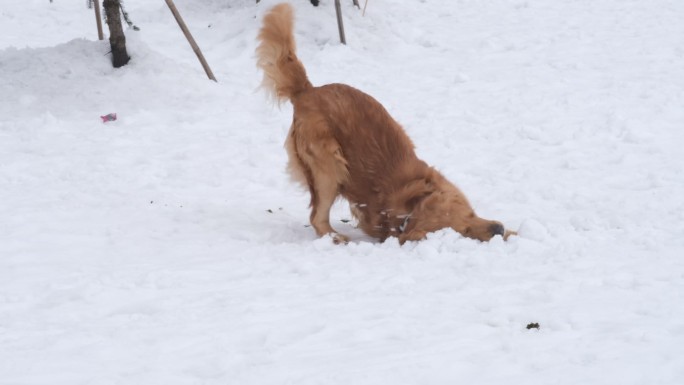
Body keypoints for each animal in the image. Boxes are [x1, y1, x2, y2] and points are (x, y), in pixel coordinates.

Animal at [256, 3, 512, 243]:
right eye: (462, 233)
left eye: (470, 214)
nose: (497, 230)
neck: (408, 211)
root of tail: (307, 91)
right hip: (330, 167)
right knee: (317, 217)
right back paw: (336, 238)